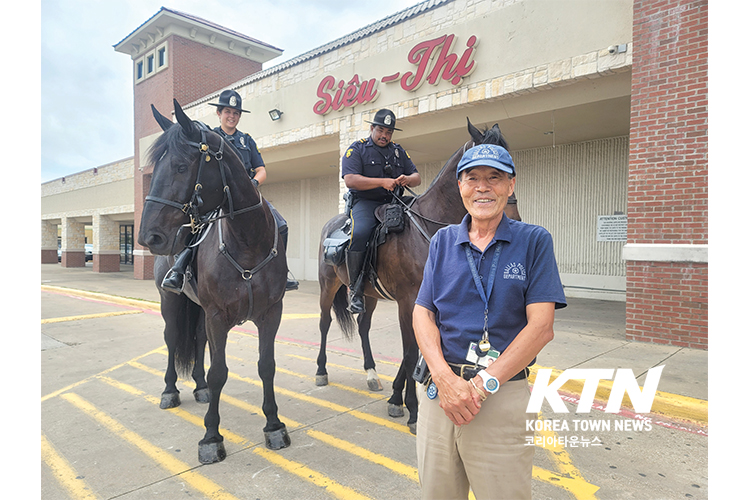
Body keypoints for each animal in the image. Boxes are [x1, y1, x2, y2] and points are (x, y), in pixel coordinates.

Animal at [140, 98, 292, 464]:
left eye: (181, 166)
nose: (149, 237)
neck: (247, 242)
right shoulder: (217, 316)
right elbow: (219, 371)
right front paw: (211, 437)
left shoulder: (270, 313)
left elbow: (266, 366)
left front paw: (274, 425)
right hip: (172, 301)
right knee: (171, 340)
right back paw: (170, 391)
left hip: (199, 311)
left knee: (196, 341)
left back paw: (199, 388)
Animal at [314, 119, 520, 432]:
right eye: (489, 172)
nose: (513, 219)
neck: (430, 229)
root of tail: (332, 223)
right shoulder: (408, 300)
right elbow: (411, 352)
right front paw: (411, 409)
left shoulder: (424, 304)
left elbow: (415, 349)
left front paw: (396, 397)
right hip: (328, 285)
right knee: (325, 323)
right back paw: (321, 370)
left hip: (369, 294)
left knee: (363, 326)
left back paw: (371, 373)